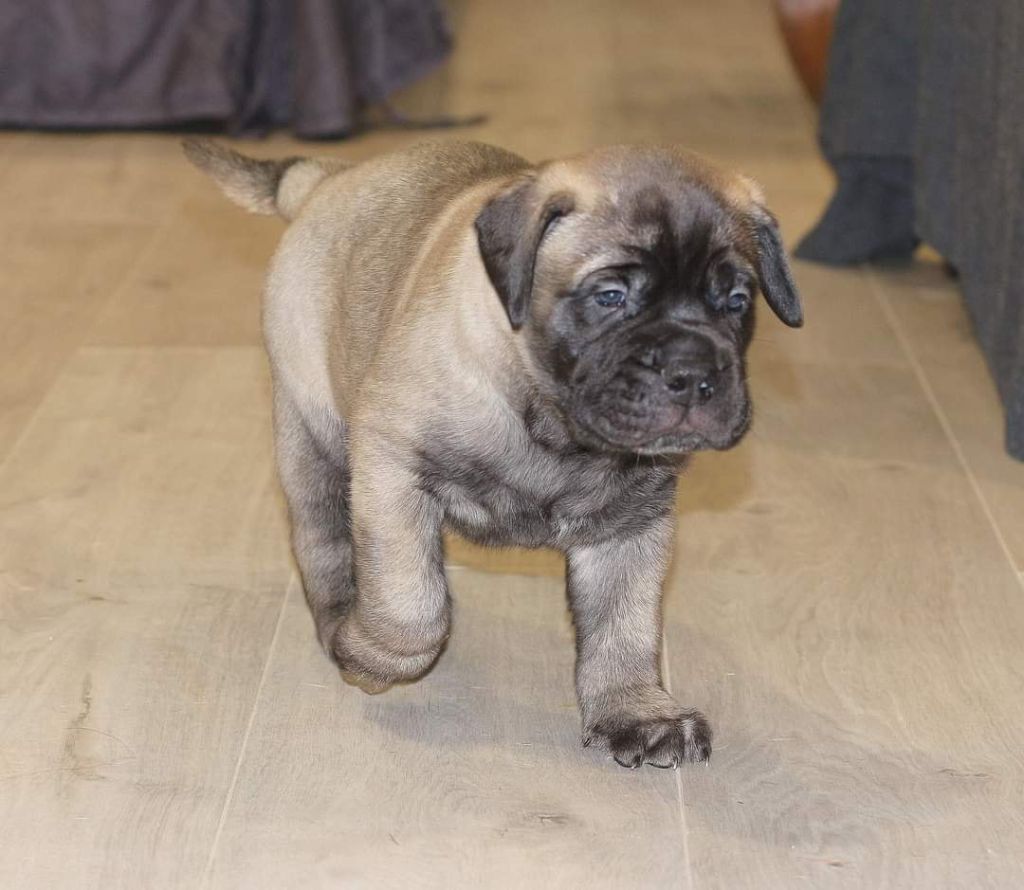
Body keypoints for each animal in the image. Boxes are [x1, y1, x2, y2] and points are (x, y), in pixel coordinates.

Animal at [188, 135, 802, 766]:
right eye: (610, 297)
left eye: (736, 301)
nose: (692, 372)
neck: (555, 428)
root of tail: (327, 179)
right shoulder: (391, 466)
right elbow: (410, 605)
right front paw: (373, 656)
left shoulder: (633, 523)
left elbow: (625, 624)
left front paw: (636, 711)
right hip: (314, 435)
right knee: (323, 544)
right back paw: (340, 623)